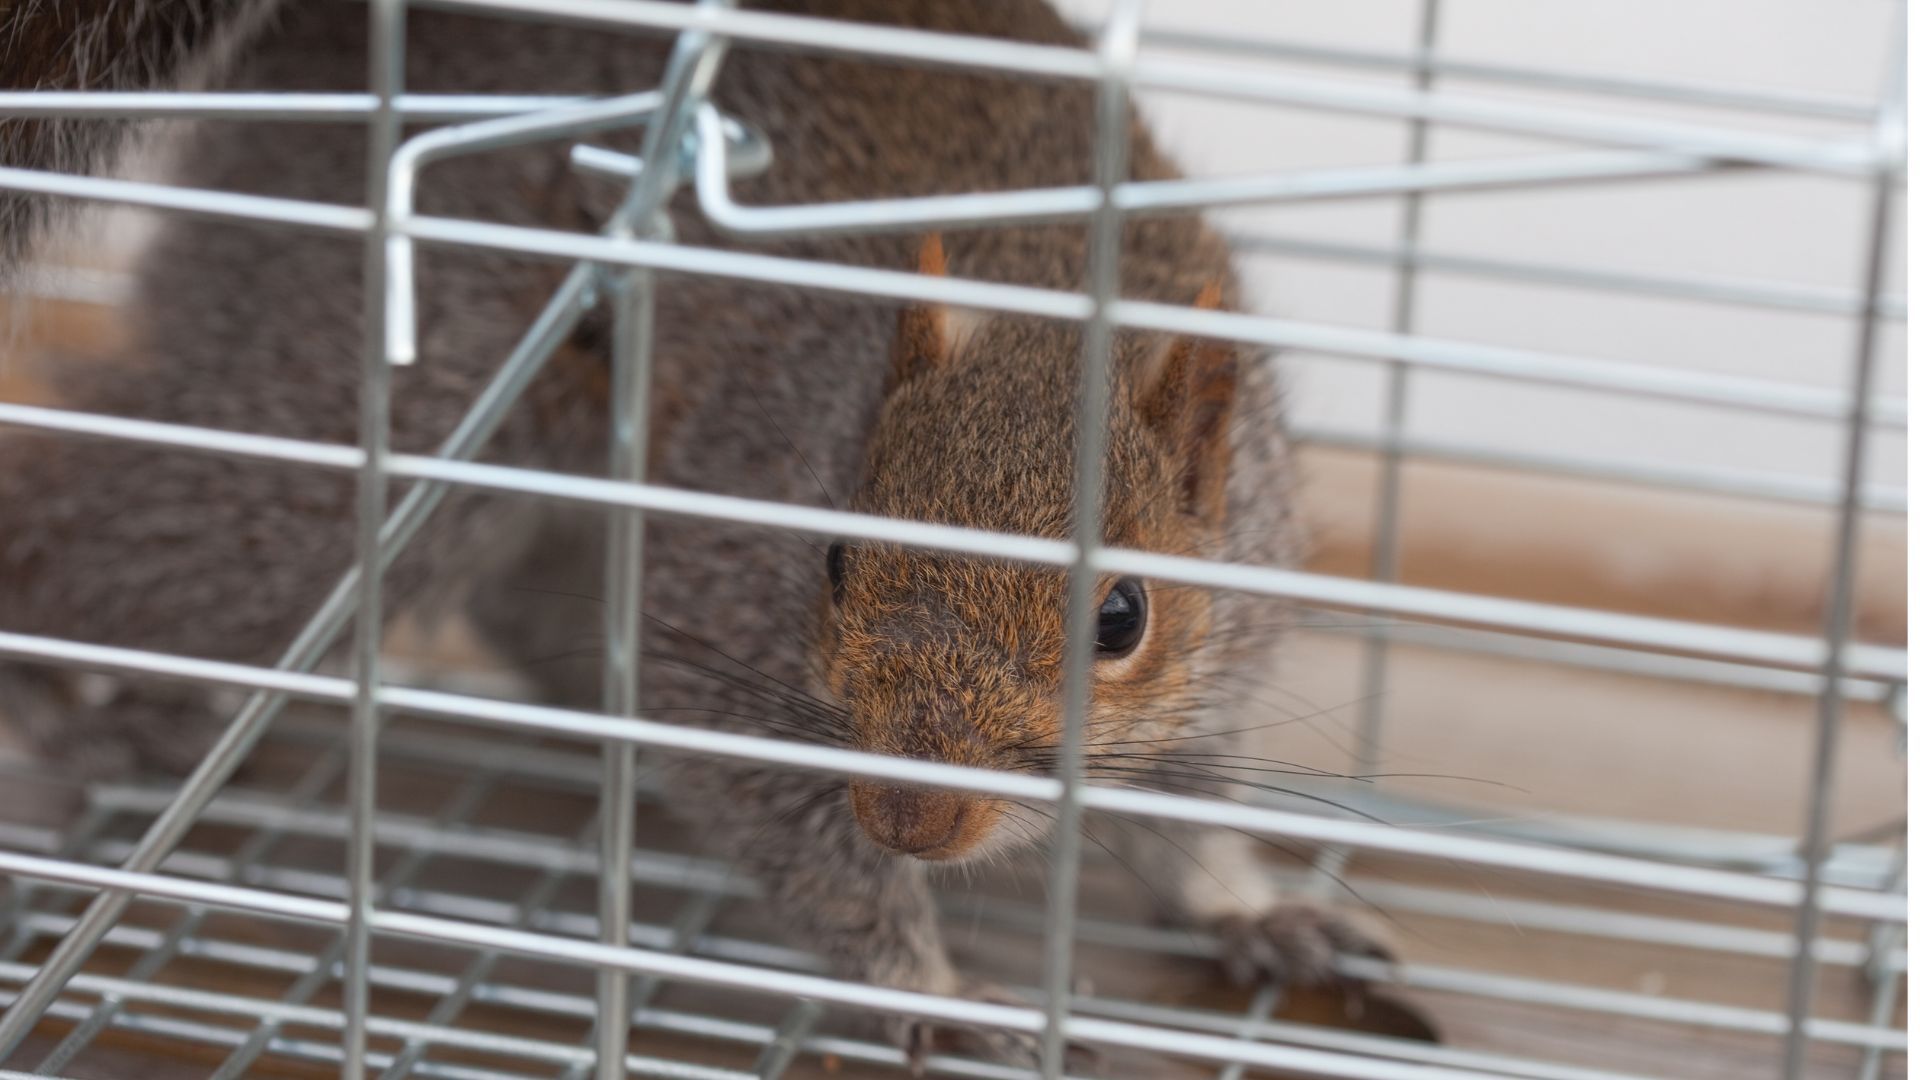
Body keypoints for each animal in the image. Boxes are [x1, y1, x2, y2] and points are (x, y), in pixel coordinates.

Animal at [0, 0, 1389, 1067]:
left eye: (1121, 616)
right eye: (831, 558)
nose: (911, 822)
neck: (1049, 295)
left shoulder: (1221, 660)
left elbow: (1186, 808)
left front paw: (1250, 904)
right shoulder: (723, 609)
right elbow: (792, 833)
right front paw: (930, 988)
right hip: (380, 398)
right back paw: (56, 719)